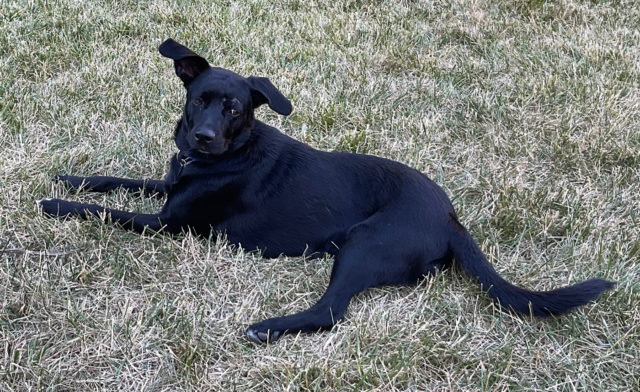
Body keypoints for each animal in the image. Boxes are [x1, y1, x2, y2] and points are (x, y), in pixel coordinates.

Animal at [40, 39, 616, 344]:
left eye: (235, 108)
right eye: (199, 99)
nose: (201, 137)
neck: (225, 155)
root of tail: (451, 217)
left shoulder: (166, 223)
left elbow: (102, 211)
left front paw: (55, 202)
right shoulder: (167, 185)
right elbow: (118, 181)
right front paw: (70, 176)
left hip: (364, 245)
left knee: (331, 312)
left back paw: (267, 327)